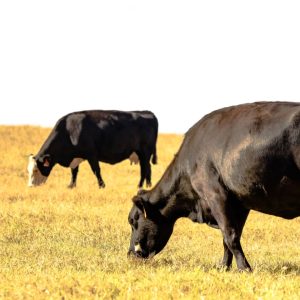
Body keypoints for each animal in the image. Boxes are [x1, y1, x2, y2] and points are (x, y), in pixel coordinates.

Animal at [27, 109, 158, 189]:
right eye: (28, 170)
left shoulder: (92, 155)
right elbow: (74, 172)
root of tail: (147, 112)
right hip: (143, 154)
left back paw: (140, 186)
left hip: (144, 152)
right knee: (148, 168)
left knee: (144, 169)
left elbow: (96, 170)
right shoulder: (75, 157)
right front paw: (71, 186)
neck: (69, 131)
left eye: (36, 170)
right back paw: (148, 185)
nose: (30, 186)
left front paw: (101, 185)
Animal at [127, 101, 300, 272]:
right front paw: (224, 267)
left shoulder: (215, 195)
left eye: (133, 221)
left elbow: (230, 235)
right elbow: (229, 237)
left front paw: (244, 268)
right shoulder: (239, 203)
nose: (130, 254)